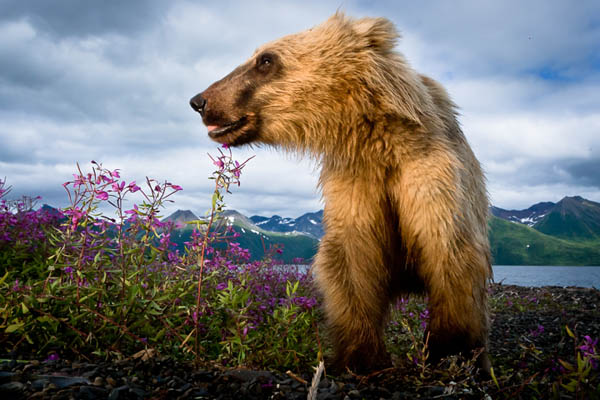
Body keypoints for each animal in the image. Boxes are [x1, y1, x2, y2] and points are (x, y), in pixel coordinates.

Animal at [190, 13, 490, 376]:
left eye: (265, 60)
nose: (199, 101)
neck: (375, 136)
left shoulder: (428, 173)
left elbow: (448, 250)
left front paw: (450, 350)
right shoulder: (356, 181)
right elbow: (351, 258)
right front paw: (359, 356)